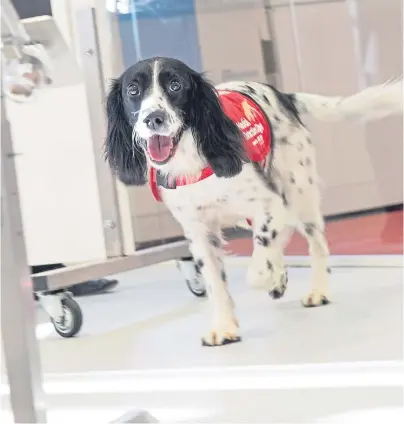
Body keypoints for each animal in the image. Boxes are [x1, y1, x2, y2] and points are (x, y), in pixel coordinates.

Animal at [104, 56, 400, 346]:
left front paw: (269, 276)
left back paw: (317, 291)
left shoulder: (271, 204)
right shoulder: (200, 233)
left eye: (175, 85)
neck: (191, 161)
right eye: (133, 90)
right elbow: (216, 283)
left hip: (299, 194)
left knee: (315, 245)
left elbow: (258, 264)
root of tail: (283, 96)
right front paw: (225, 327)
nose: (154, 118)